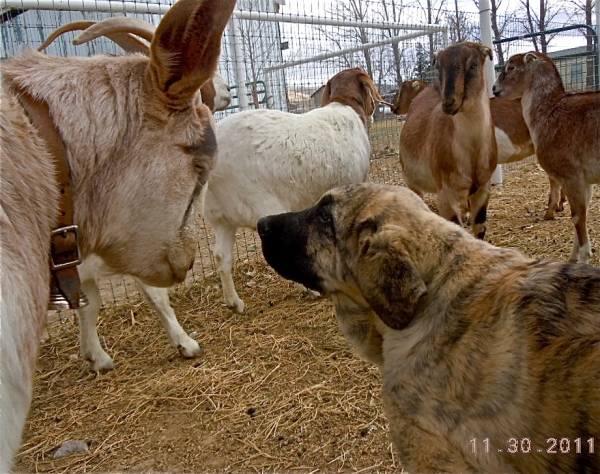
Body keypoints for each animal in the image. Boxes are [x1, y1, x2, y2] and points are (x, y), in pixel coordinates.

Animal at [1, 0, 236, 470]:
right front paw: (186, 344)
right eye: (201, 164)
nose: (186, 262)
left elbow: (90, 305)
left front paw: (96, 357)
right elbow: (150, 294)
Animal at [202, 66, 390, 312]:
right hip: (260, 202)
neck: (345, 106)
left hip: (220, 216)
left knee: (220, 256)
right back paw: (309, 289)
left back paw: (235, 303)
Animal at [398, 42, 496, 239]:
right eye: (439, 66)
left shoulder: (483, 187)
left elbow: (480, 228)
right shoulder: (445, 192)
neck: (472, 152)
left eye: (473, 65)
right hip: (411, 181)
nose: (448, 102)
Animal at [492, 53, 600, 264]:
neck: (548, 114)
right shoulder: (586, 180)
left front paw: (583, 258)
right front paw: (573, 257)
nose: (494, 88)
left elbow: (578, 217)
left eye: (511, 67)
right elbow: (582, 214)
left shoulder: (570, 175)